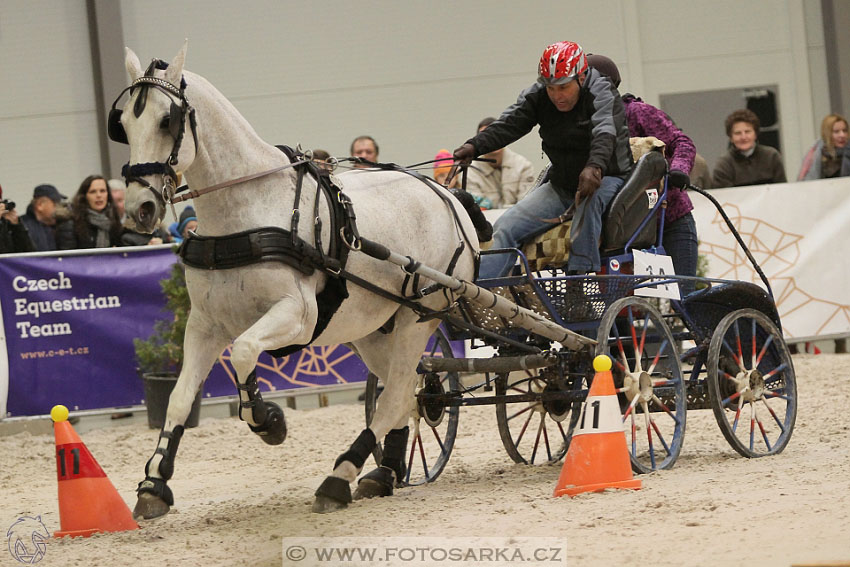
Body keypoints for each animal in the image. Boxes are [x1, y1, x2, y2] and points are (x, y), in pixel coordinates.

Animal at [116, 42, 476, 516]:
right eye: (123, 123)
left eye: (165, 120)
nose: (139, 209)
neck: (247, 208)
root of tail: (447, 195)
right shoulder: (205, 324)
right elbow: (180, 396)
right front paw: (154, 483)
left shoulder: (298, 316)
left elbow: (244, 351)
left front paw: (268, 421)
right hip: (373, 328)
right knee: (406, 391)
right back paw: (383, 473)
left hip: (420, 317)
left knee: (398, 393)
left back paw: (339, 478)